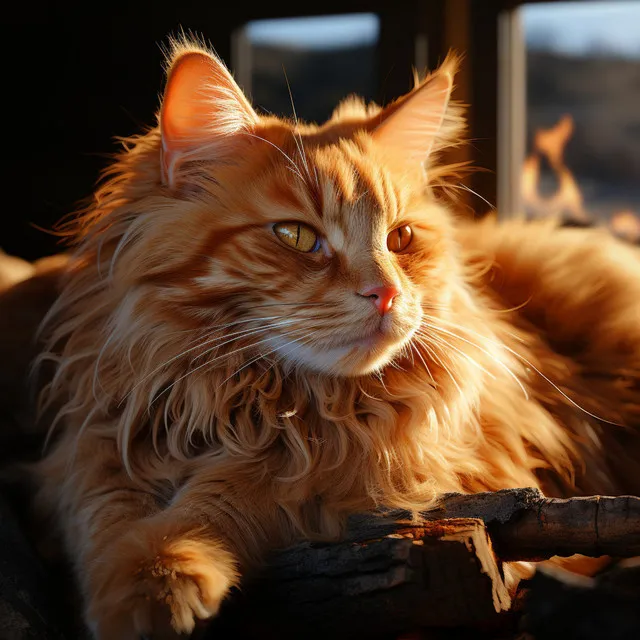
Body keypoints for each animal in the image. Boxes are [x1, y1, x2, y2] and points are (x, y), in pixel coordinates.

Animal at [31, 38, 640, 640]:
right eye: (296, 236)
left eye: (401, 238)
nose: (386, 294)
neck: (243, 398)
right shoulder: (99, 441)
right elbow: (102, 513)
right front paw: (134, 589)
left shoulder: (362, 470)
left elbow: (221, 498)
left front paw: (164, 573)